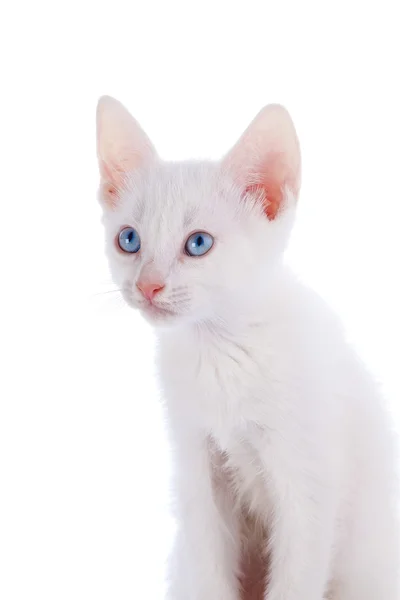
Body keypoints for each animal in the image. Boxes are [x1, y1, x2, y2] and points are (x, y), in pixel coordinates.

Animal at [95, 96, 398, 596]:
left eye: (198, 243)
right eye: (129, 239)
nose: (148, 286)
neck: (222, 351)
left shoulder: (308, 483)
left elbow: (296, 579)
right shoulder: (198, 471)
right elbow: (211, 573)